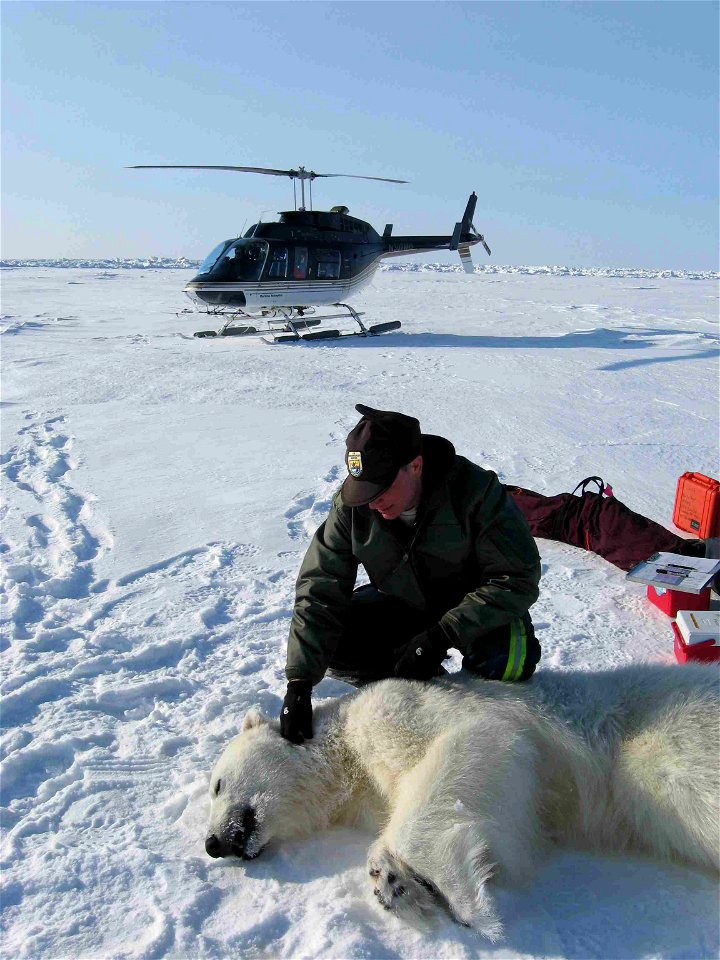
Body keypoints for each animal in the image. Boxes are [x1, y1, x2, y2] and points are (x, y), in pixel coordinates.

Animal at [204, 664, 720, 940]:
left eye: (216, 784)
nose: (213, 843)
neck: (343, 747)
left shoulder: (397, 707)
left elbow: (475, 739)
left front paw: (449, 891)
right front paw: (398, 885)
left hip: (667, 745)